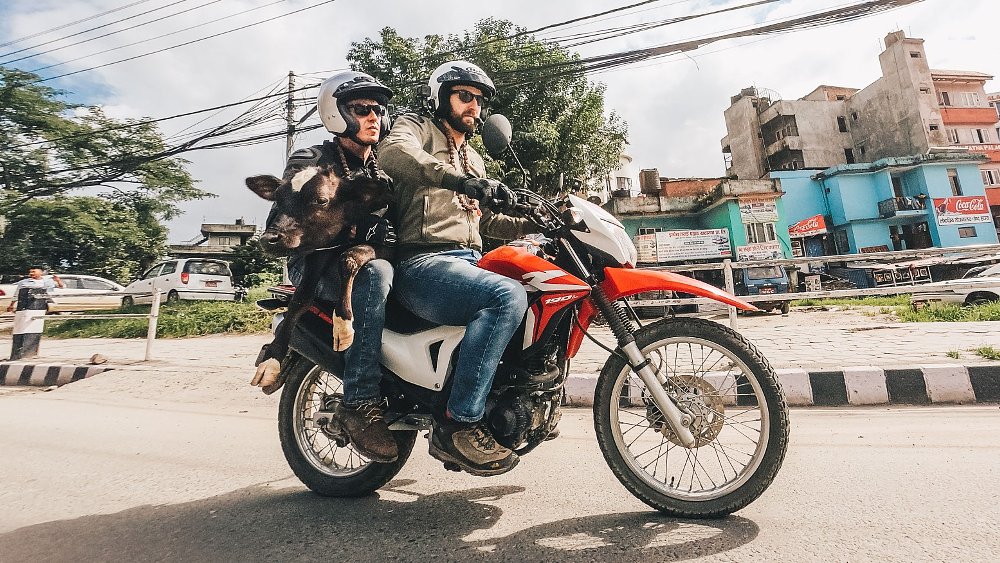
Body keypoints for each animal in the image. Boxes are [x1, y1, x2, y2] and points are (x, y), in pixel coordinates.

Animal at [244, 163, 392, 392]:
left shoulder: (390, 243)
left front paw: (342, 323)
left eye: (321, 200)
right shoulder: (318, 248)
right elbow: (301, 297)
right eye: (278, 198)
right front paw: (271, 360)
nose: (269, 238)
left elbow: (349, 257)